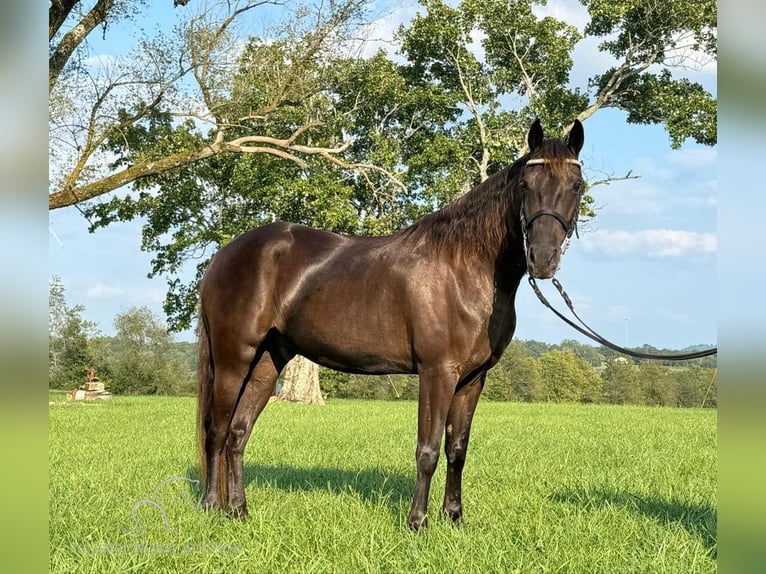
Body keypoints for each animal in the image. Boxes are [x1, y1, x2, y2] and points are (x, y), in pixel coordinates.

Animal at [195, 117, 584, 532]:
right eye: (526, 184)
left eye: (576, 185)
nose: (542, 258)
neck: (463, 268)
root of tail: (224, 255)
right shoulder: (437, 373)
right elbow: (428, 450)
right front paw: (418, 522)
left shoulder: (472, 379)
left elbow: (457, 449)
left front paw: (455, 519)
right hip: (234, 359)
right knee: (217, 431)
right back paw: (211, 506)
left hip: (268, 361)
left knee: (238, 433)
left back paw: (239, 510)